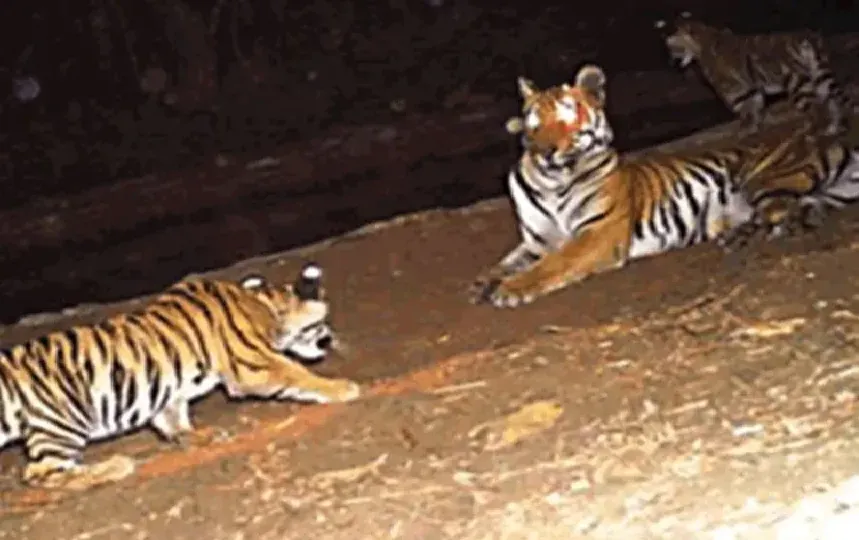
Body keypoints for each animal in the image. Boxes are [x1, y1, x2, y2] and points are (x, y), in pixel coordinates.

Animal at [0, 262, 360, 491]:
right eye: (319, 324)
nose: (329, 339)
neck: (263, 306)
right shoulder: (254, 364)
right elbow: (299, 374)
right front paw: (343, 388)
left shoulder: (167, 390)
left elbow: (172, 418)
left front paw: (196, 437)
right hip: (64, 421)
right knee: (39, 474)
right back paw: (115, 466)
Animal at [469, 63, 859, 308]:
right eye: (534, 123)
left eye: (568, 116)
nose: (546, 151)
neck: (552, 180)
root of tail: (821, 141)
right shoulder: (536, 241)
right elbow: (510, 261)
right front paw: (484, 281)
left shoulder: (597, 234)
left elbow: (554, 263)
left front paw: (510, 289)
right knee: (804, 206)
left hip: (766, 177)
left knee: (779, 209)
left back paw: (745, 235)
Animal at [654, 12, 853, 136]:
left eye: (673, 48)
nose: (672, 62)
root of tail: (807, 36)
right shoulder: (751, 88)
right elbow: (755, 107)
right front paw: (754, 128)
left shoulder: (732, 90)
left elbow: (744, 110)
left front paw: (745, 129)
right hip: (820, 76)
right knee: (834, 102)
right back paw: (834, 128)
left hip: (797, 82)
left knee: (816, 107)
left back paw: (814, 130)